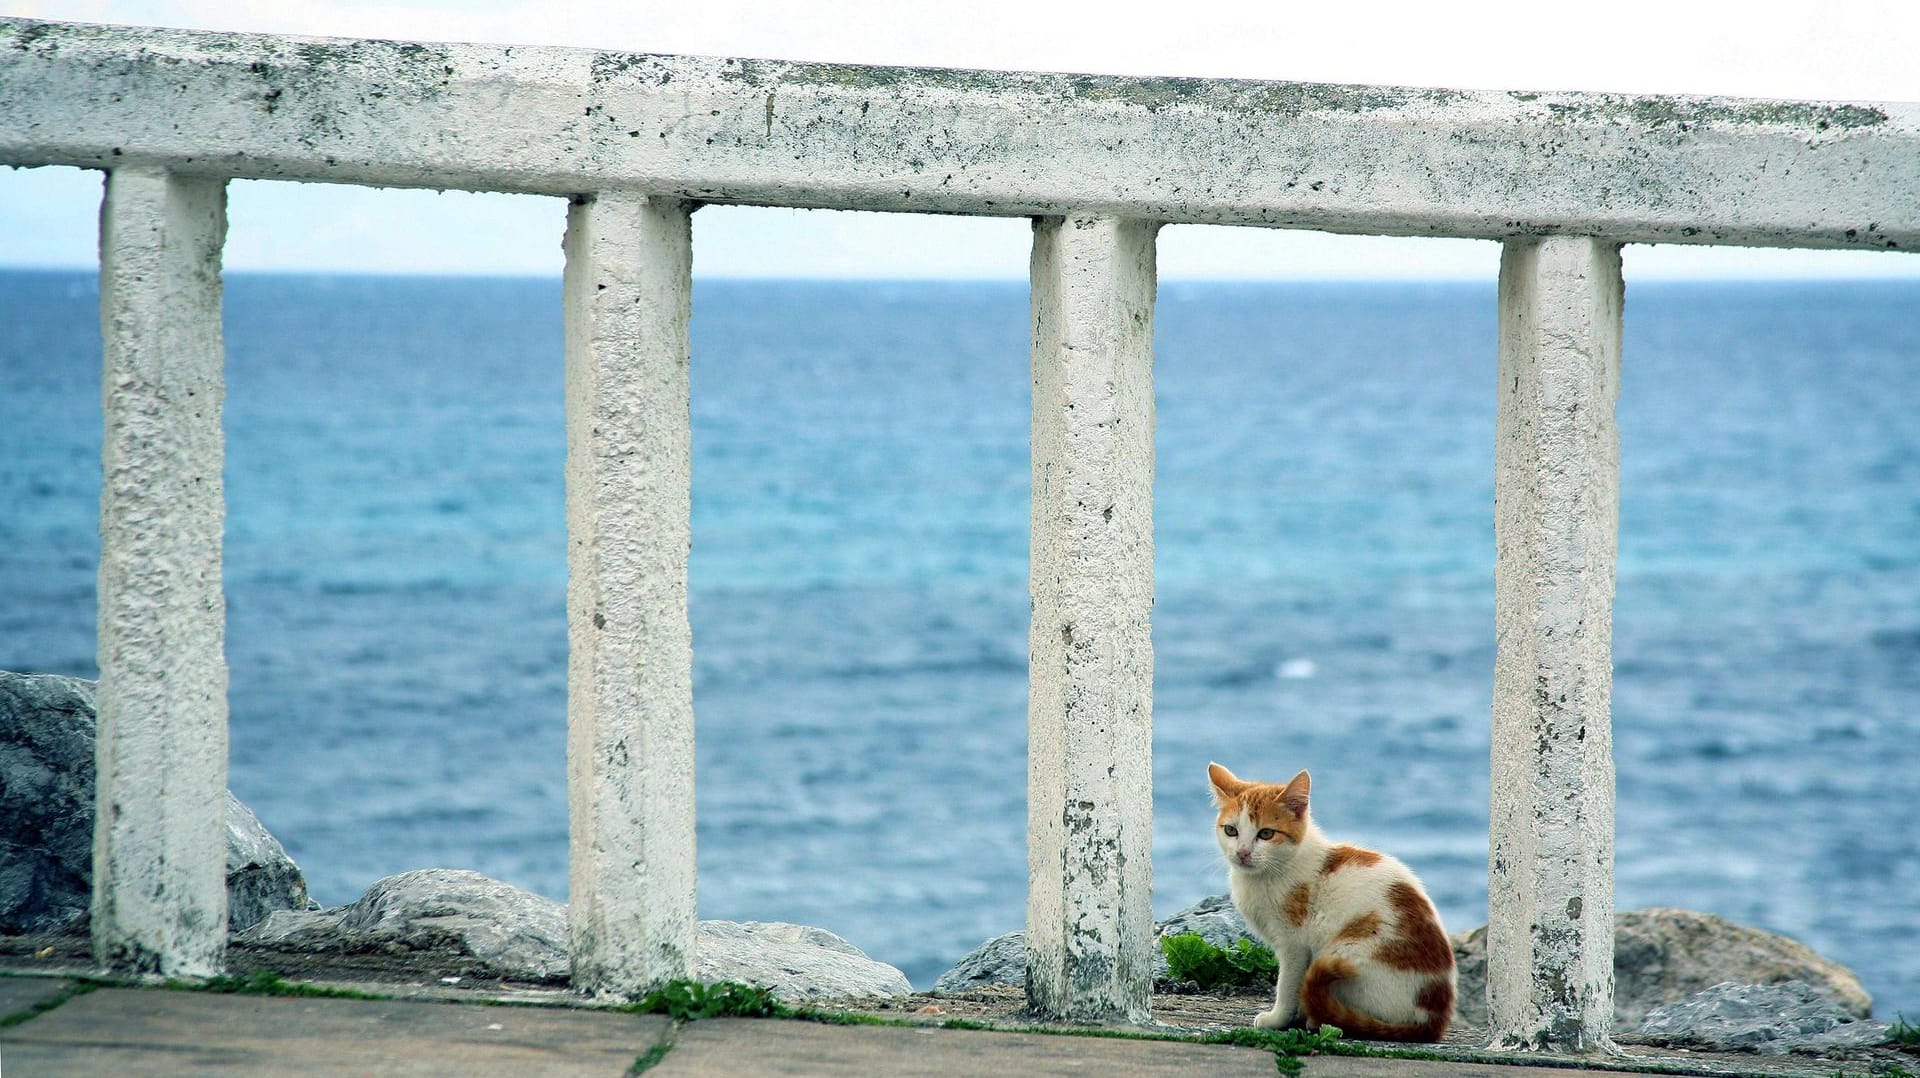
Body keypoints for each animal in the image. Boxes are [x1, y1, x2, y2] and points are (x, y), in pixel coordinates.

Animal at [1213, 760, 1451, 1037]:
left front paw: (1278, 1019)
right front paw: (1297, 1016)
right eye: (1231, 831)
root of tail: (1433, 1020)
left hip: (1348, 950)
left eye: (1266, 834)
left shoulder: (1294, 944)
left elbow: (1288, 984)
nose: (1242, 853)